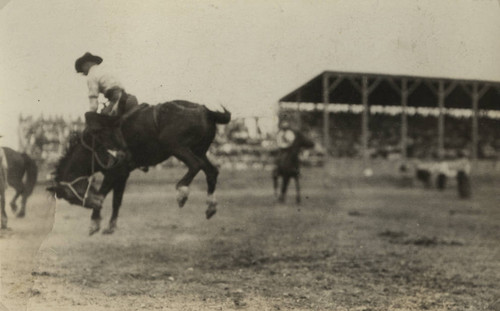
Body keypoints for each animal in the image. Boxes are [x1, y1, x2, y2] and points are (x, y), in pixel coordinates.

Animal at [47, 101, 231, 235]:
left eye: (70, 196)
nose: (92, 204)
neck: (92, 147)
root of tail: (206, 111)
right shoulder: (123, 174)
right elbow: (116, 200)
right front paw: (110, 225)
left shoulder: (114, 171)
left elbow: (103, 193)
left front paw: (94, 222)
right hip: (199, 150)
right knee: (211, 171)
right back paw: (210, 206)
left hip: (176, 146)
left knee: (195, 165)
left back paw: (182, 192)